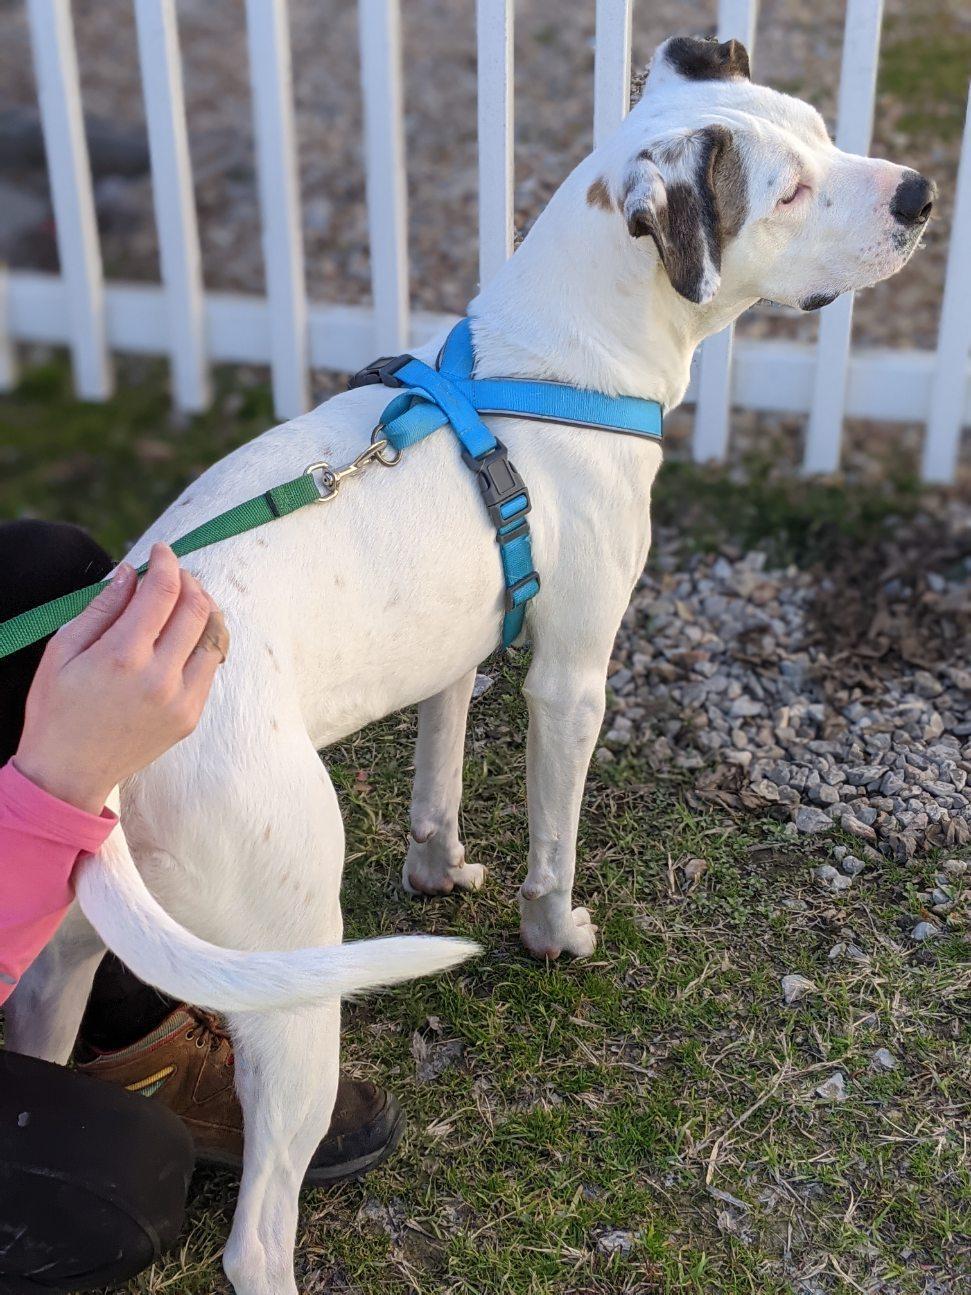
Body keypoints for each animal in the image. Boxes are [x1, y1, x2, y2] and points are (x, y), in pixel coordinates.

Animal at [7, 32, 937, 1295]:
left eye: (819, 126)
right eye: (785, 190)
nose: (919, 194)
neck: (549, 366)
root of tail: (111, 766)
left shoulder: (458, 653)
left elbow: (437, 780)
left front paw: (438, 867)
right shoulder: (571, 673)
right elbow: (553, 842)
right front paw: (554, 936)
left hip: (78, 953)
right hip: (291, 963)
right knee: (255, 1234)